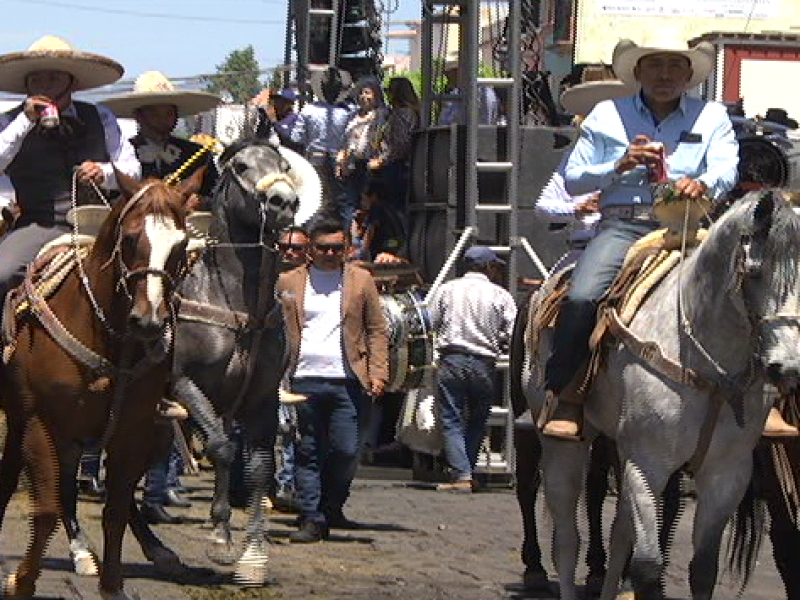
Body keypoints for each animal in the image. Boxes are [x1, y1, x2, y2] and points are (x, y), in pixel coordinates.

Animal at [0, 170, 202, 600]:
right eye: (130, 238)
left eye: (180, 244)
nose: (149, 321)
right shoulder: (41, 425)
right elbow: (45, 510)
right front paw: (21, 580)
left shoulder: (133, 432)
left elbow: (115, 511)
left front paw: (112, 585)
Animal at [520, 191, 800, 600]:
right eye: (754, 272)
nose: (788, 366)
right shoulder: (647, 464)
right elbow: (648, 567)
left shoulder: (727, 474)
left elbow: (702, 569)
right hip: (561, 444)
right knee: (566, 539)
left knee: (618, 536)